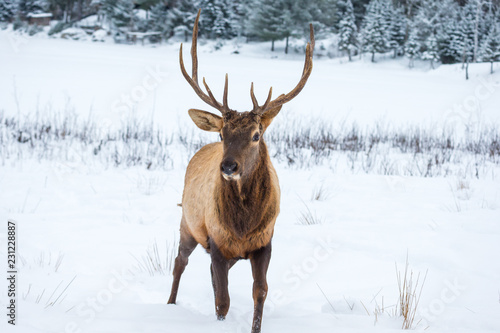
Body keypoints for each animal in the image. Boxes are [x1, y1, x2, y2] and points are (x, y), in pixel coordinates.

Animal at [168, 9, 314, 332]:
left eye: (256, 135)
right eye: (223, 134)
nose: (228, 166)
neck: (243, 224)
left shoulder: (263, 243)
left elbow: (260, 292)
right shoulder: (217, 242)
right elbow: (223, 301)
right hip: (188, 224)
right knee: (179, 263)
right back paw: (169, 305)